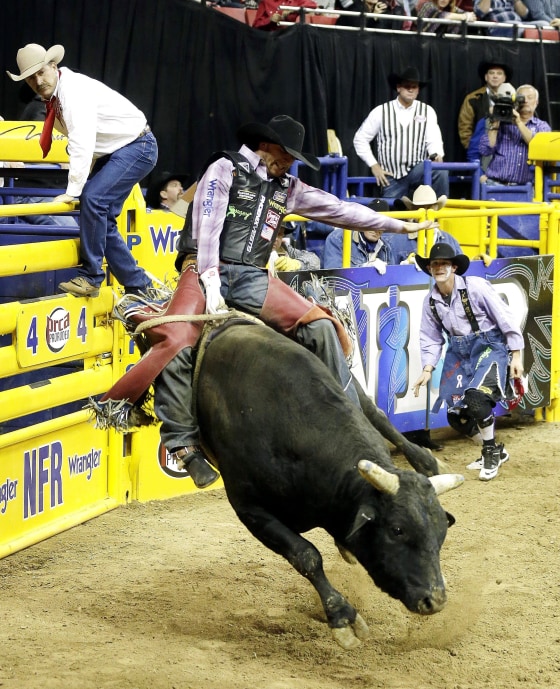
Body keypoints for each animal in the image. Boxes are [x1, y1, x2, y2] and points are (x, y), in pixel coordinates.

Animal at [195, 319, 464, 650]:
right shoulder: (249, 509)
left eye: (442, 531)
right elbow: (306, 555)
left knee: (377, 414)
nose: (434, 601)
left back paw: (427, 461)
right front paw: (342, 617)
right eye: (397, 530)